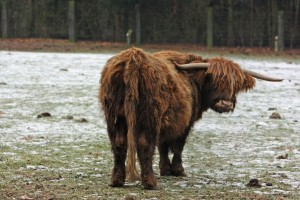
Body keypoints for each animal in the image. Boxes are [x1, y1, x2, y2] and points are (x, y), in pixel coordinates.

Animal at [98, 47, 282, 189]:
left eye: (235, 85)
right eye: (214, 80)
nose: (226, 104)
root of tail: (134, 58)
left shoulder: (169, 123)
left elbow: (163, 146)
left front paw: (165, 170)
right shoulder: (185, 122)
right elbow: (178, 146)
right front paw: (178, 170)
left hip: (114, 116)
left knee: (119, 143)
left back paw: (117, 181)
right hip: (149, 117)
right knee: (144, 144)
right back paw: (150, 183)